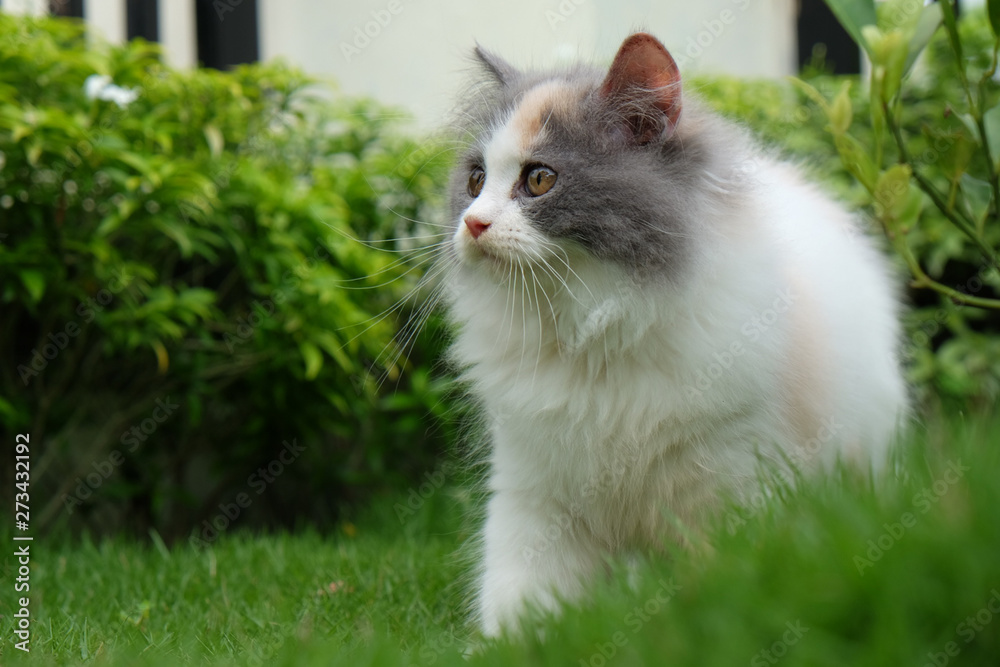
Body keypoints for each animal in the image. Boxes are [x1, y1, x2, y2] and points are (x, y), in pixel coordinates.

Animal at [438, 31, 908, 636]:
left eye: (539, 179)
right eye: (475, 181)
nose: (473, 224)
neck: (590, 334)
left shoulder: (730, 475)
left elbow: (724, 584)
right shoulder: (534, 493)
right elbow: (519, 596)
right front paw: (515, 643)